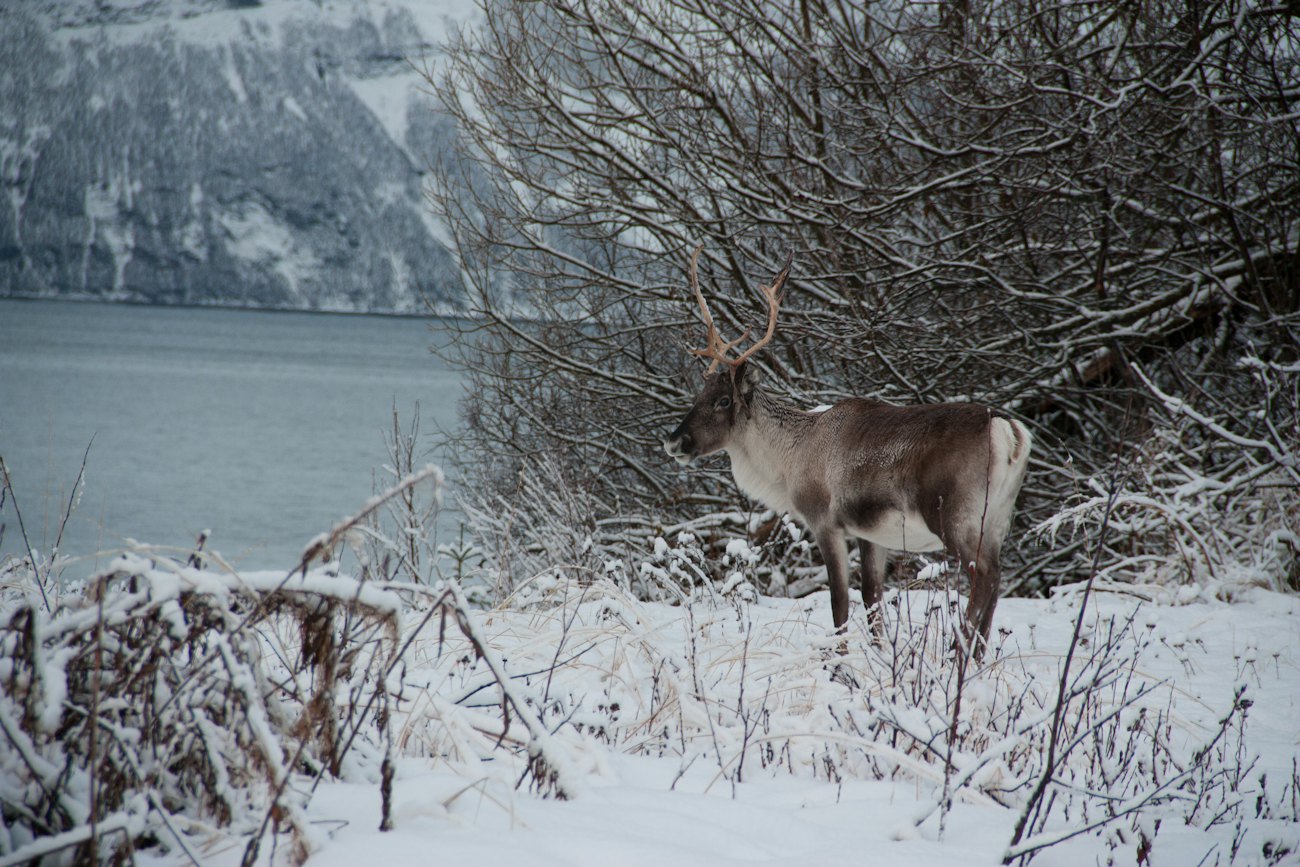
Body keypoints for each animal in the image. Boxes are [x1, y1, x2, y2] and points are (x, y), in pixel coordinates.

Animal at [663, 247, 1032, 657]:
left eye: (724, 400)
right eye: (698, 395)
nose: (674, 442)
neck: (788, 461)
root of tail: (1009, 431)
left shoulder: (824, 520)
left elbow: (839, 601)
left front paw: (838, 659)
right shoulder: (871, 534)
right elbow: (872, 598)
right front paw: (881, 656)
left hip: (956, 516)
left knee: (983, 576)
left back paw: (958, 653)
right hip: (999, 516)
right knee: (997, 578)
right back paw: (977, 656)